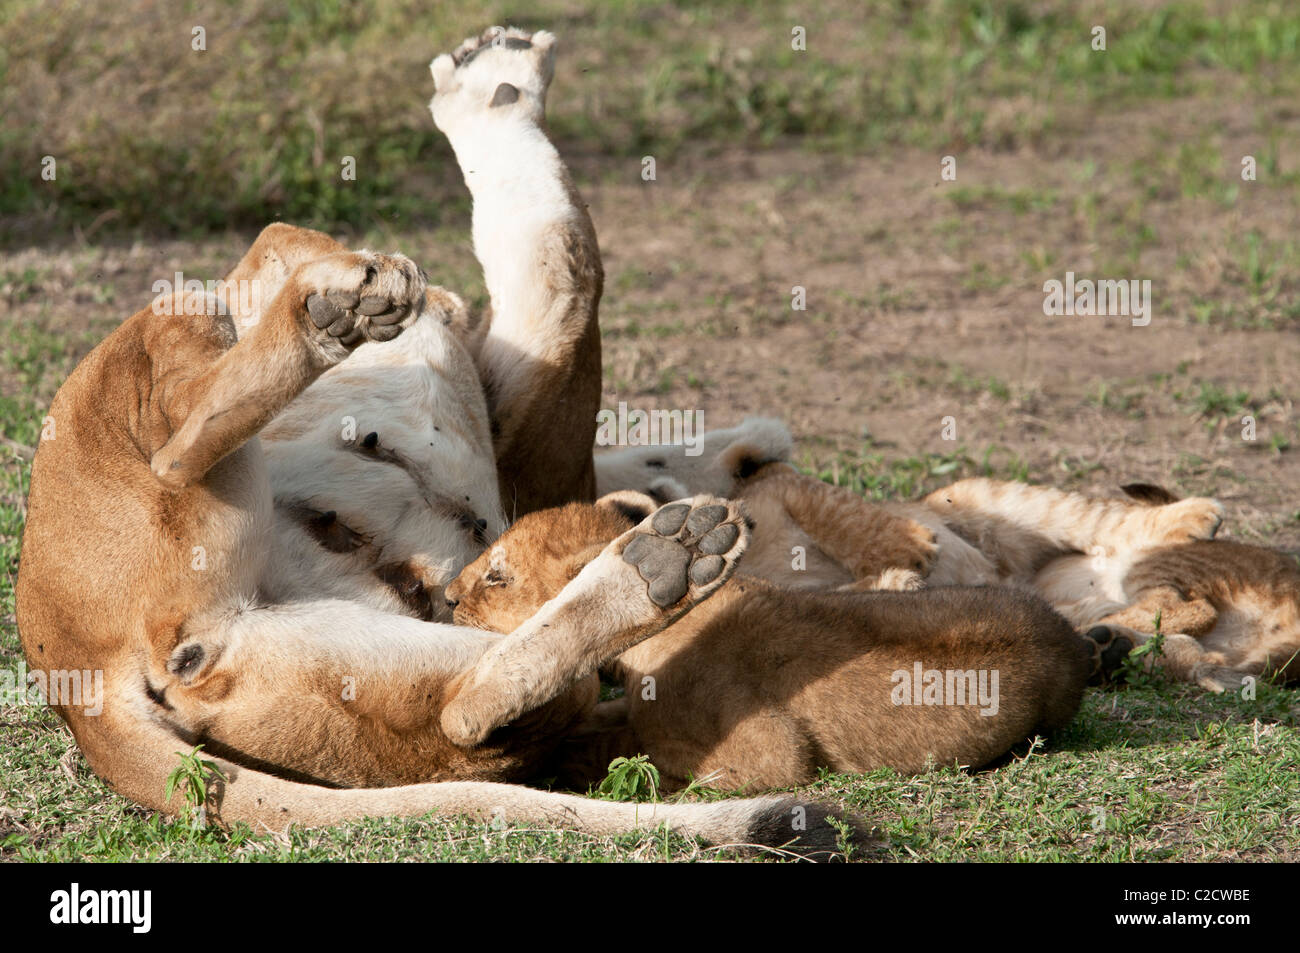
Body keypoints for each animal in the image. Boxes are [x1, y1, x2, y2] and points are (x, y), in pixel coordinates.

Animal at [15, 27, 865, 854]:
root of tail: (78, 682)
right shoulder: (509, 411)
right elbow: (563, 264)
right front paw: (494, 83)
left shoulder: (514, 437)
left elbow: (557, 278)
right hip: (176, 350)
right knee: (181, 436)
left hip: (347, 659)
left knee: (465, 712)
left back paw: (665, 560)